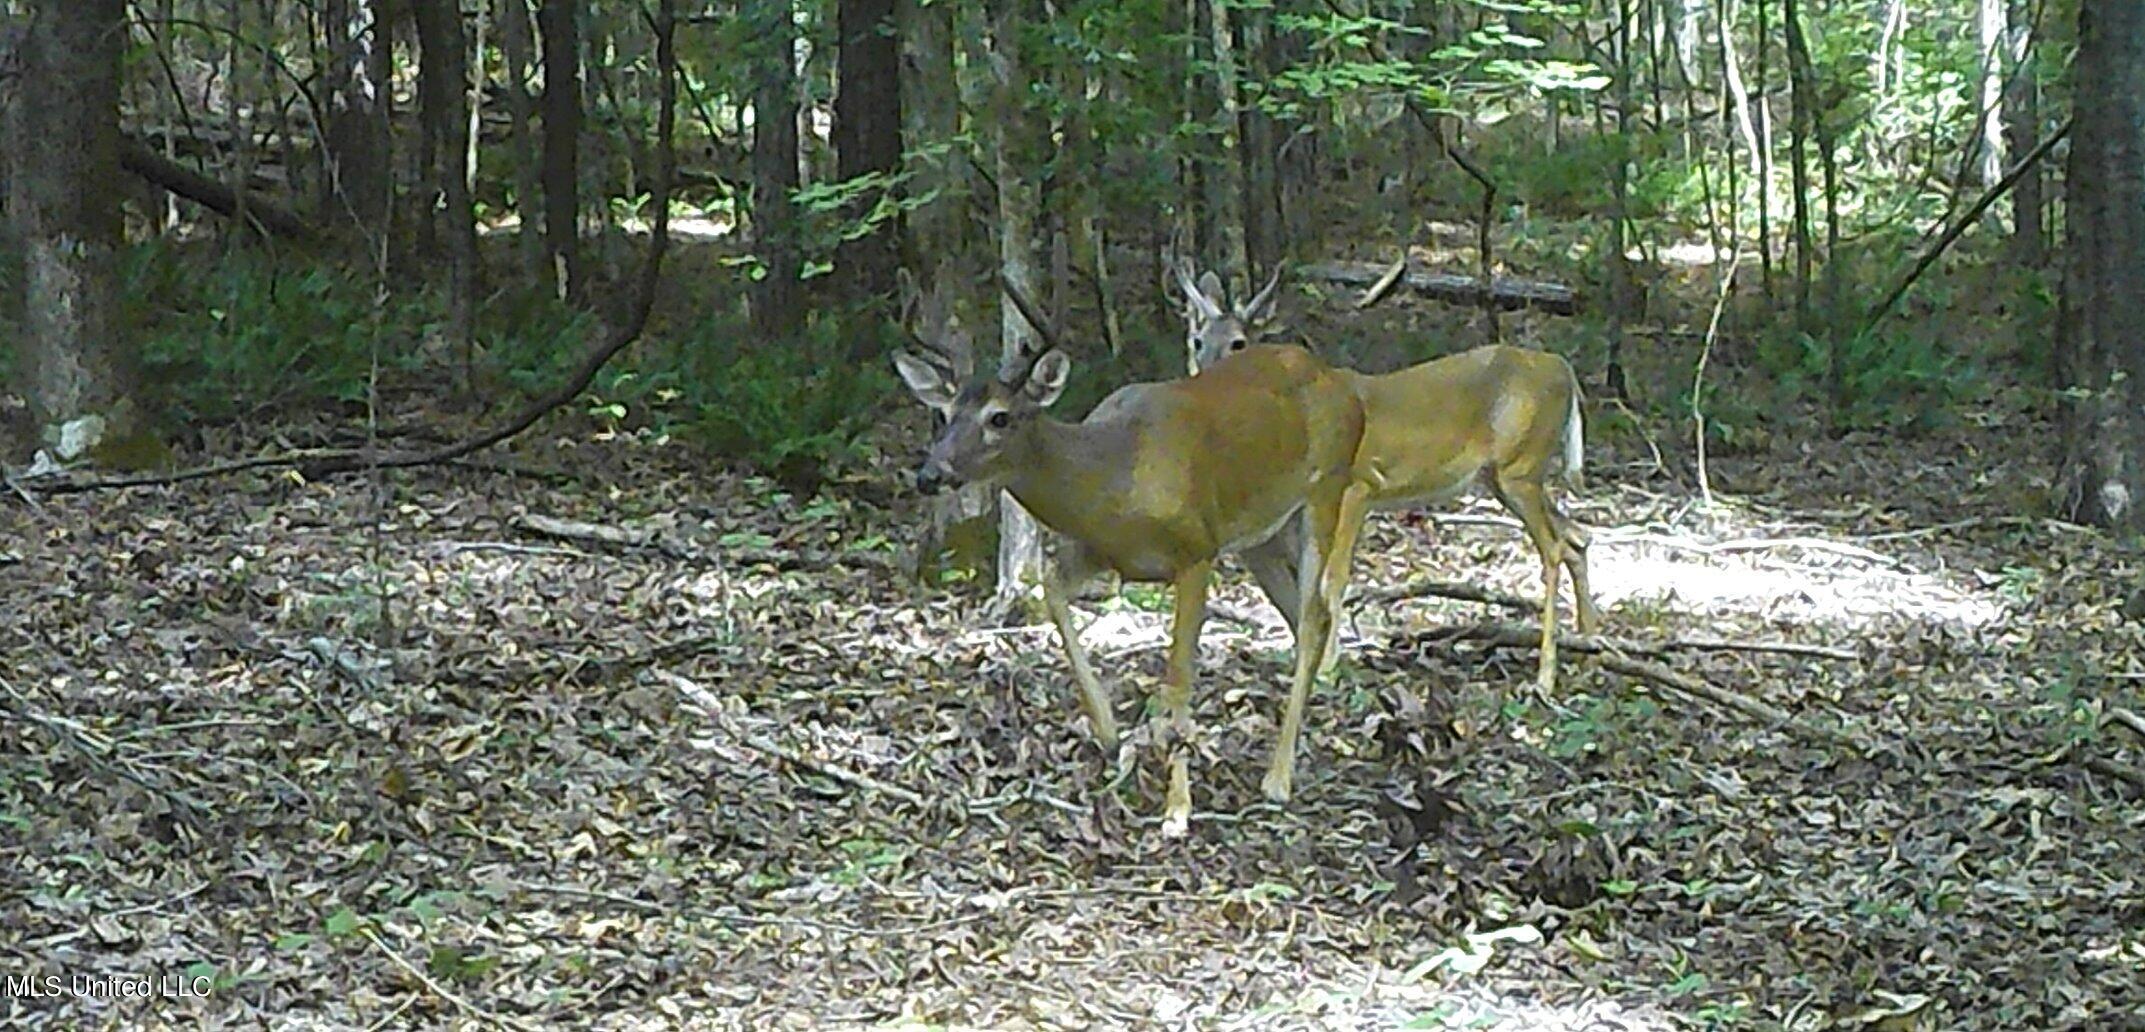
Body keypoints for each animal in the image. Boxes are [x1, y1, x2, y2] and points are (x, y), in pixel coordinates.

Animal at [892, 276, 1372, 832]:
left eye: (1000, 417)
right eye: (945, 414)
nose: (930, 475)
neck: (1111, 480)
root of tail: (1339, 381)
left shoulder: (1196, 549)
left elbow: (1179, 677)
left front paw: (1177, 806)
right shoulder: (1099, 552)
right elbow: (1052, 591)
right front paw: (1109, 731)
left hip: (1325, 488)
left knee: (1315, 613)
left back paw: (1278, 778)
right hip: (1263, 536)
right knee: (1300, 615)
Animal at [1166, 257, 1604, 690]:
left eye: (1239, 342)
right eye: (1197, 341)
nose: (1205, 379)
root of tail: (1564, 370)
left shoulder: (1357, 486)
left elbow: (1331, 580)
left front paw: (1329, 667)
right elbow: (1301, 587)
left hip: (1520, 467)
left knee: (1554, 548)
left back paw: (1546, 675)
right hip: (1504, 476)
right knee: (1576, 536)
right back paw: (1589, 645)